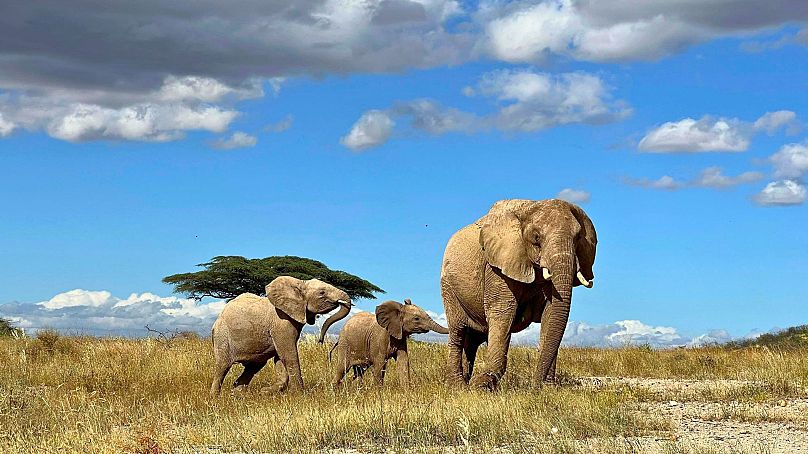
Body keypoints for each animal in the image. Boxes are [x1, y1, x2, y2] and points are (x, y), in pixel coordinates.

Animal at [208, 274, 350, 396]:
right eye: (322, 293)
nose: (320, 340)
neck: (299, 283)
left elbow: (280, 358)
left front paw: (266, 392)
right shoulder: (281, 322)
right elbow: (288, 354)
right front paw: (300, 394)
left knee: (254, 366)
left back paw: (236, 394)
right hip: (222, 335)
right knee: (222, 366)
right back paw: (215, 397)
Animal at [438, 199, 596, 390]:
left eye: (578, 237)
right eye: (536, 237)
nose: (535, 386)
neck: (530, 207)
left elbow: (551, 315)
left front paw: (548, 388)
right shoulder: (496, 266)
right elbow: (502, 312)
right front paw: (482, 385)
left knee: (473, 339)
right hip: (448, 287)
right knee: (458, 331)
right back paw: (458, 386)